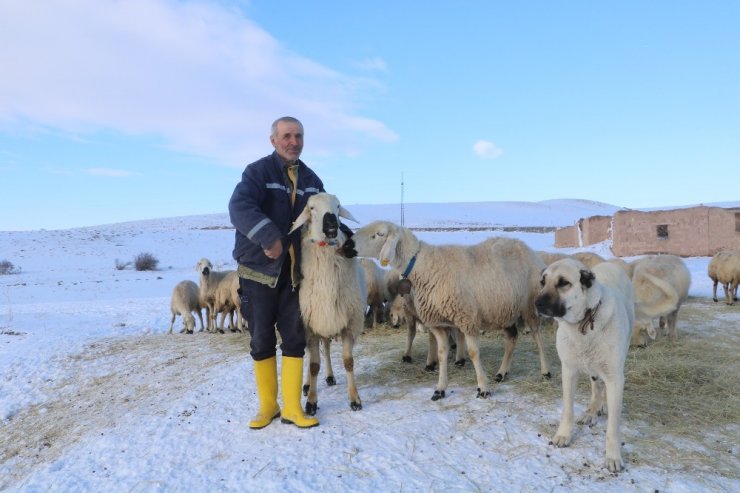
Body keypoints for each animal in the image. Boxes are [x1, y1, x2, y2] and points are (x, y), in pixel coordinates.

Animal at [290, 193, 370, 416]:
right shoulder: (309, 325)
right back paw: (307, 384)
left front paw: (354, 399)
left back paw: (330, 376)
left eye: (338, 206)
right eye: (311, 208)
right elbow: (313, 365)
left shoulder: (349, 323)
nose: (332, 224)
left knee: (325, 348)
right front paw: (311, 402)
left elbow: (348, 362)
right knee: (311, 356)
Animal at [352, 221, 548, 402]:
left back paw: (545, 371)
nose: (349, 244)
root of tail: (525, 246)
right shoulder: (438, 323)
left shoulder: (467, 319)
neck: (422, 265)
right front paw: (440, 388)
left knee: (538, 337)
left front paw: (483, 388)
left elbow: (473, 353)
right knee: (512, 337)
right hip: (504, 310)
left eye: (379, 234)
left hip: (529, 306)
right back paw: (502, 372)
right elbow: (441, 353)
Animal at [536, 258, 632, 472]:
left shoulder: (615, 378)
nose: (536, 304)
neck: (585, 321)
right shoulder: (569, 371)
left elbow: (613, 426)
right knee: (596, 386)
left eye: (564, 283)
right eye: (542, 282)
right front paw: (563, 435)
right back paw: (592, 411)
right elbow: (567, 410)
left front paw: (613, 456)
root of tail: (610, 263)